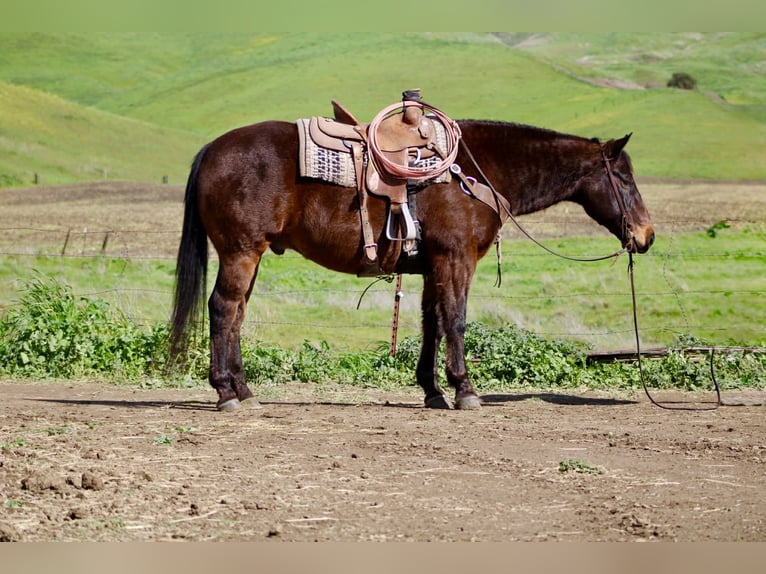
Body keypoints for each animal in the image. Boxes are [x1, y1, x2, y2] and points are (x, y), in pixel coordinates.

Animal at [169, 117, 655, 412]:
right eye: (624, 177)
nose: (646, 235)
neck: (475, 170)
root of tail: (213, 149)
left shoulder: (433, 265)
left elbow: (432, 323)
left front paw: (433, 390)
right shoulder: (457, 259)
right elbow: (455, 319)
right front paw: (465, 390)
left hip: (251, 256)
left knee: (236, 315)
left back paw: (244, 389)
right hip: (240, 252)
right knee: (222, 309)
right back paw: (225, 393)